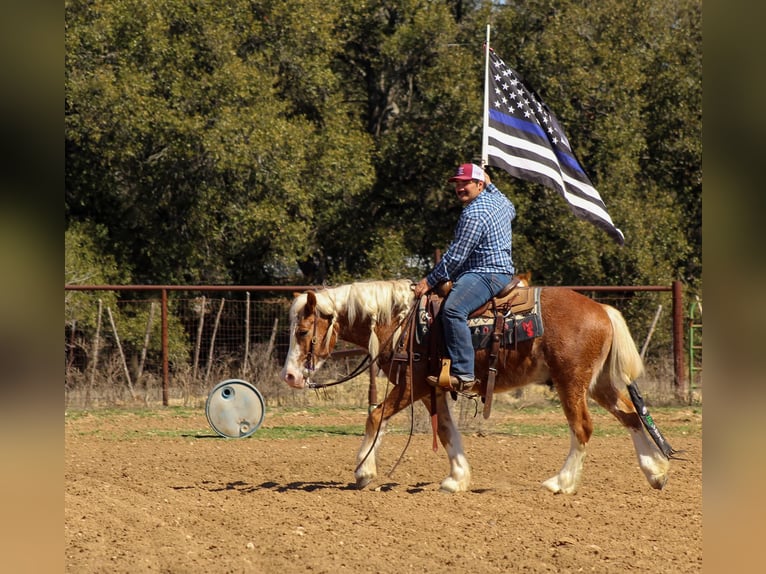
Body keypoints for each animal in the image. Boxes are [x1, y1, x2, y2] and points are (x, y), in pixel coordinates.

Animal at [282, 280, 680, 496]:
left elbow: (376, 415)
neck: (402, 321)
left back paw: (561, 482)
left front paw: (364, 471)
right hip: (599, 384)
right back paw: (656, 472)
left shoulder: (411, 384)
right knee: (631, 417)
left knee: (582, 428)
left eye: (302, 331)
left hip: (572, 383)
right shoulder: (433, 389)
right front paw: (457, 479)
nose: (290, 376)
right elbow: (446, 431)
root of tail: (601, 309)